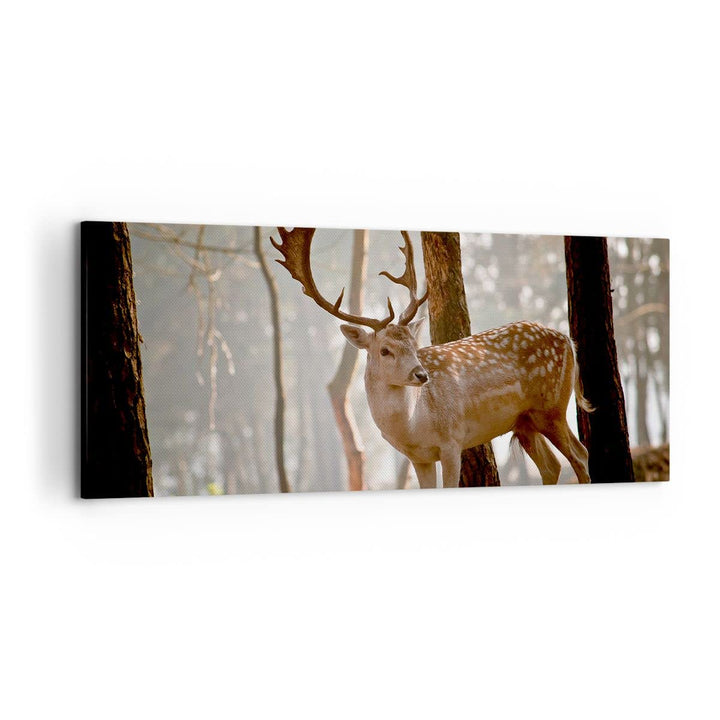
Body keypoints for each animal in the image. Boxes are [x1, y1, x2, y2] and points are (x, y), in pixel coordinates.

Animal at [272, 227, 592, 488]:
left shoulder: (452, 441)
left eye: (415, 345)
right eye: (384, 350)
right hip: (524, 420)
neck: (413, 428)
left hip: (550, 406)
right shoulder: (419, 458)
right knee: (552, 466)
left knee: (580, 454)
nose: (421, 374)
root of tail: (567, 339)